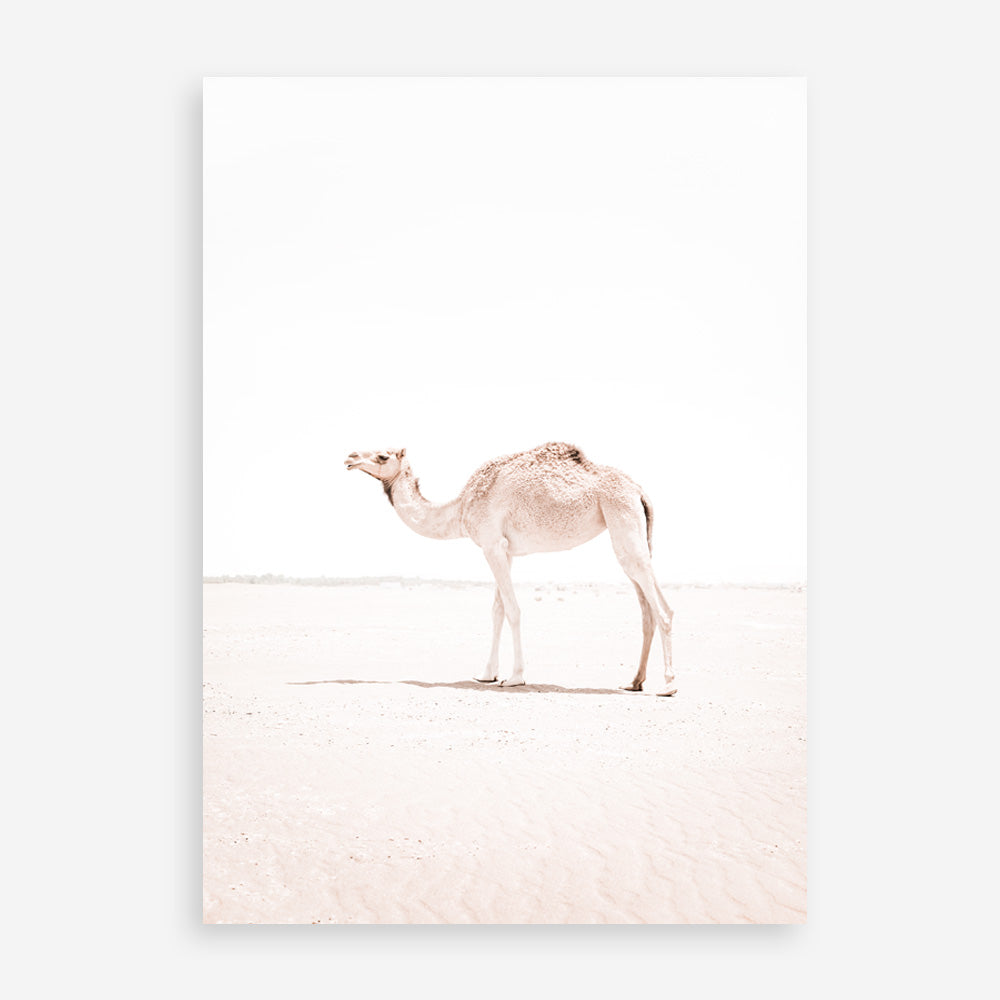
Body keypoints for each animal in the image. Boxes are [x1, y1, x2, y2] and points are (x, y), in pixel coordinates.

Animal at [344, 442, 676, 695]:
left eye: (382, 456)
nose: (350, 457)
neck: (461, 508)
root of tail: (639, 491)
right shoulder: (505, 550)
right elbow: (497, 610)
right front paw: (486, 673)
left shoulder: (491, 545)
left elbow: (513, 610)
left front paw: (515, 677)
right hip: (631, 530)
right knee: (646, 609)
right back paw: (634, 682)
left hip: (621, 518)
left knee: (662, 610)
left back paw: (668, 685)